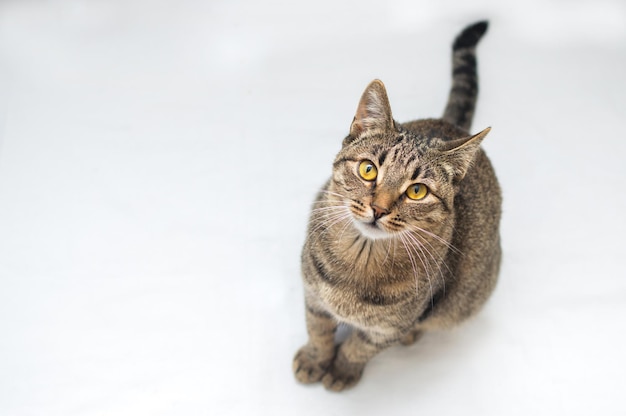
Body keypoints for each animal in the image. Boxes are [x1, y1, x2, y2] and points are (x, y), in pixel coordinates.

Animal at [292, 21, 502, 392]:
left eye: (417, 191)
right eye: (368, 169)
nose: (378, 208)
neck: (361, 259)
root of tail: (450, 126)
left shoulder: (388, 328)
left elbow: (359, 347)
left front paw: (341, 370)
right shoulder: (313, 296)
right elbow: (317, 329)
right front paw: (315, 358)